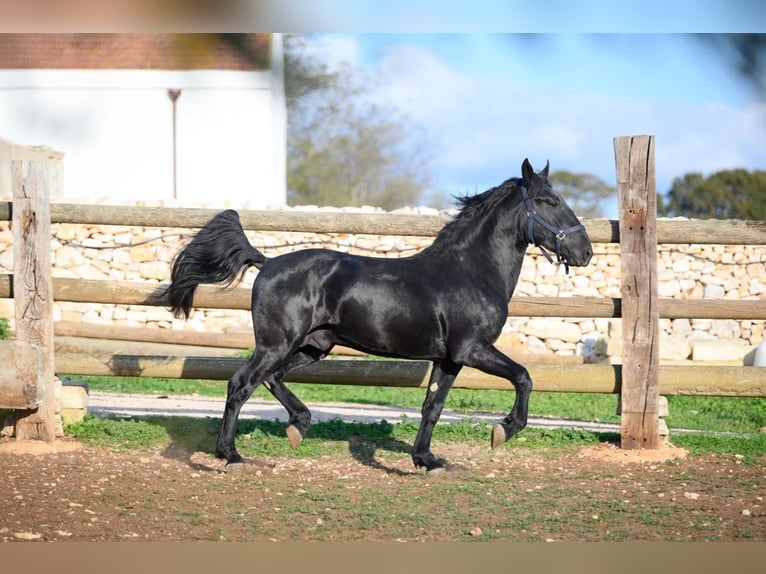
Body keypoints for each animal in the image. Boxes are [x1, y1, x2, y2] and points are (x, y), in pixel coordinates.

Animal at [170, 159, 592, 472]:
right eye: (550, 200)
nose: (584, 251)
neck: (470, 271)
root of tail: (268, 262)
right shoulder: (472, 349)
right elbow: (523, 377)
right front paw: (503, 430)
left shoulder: (449, 358)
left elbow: (432, 407)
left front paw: (426, 460)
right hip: (277, 344)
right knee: (240, 384)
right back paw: (231, 455)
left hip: (310, 347)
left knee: (270, 379)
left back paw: (298, 428)